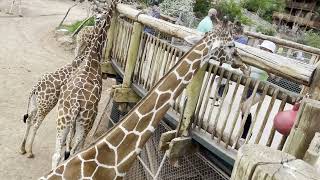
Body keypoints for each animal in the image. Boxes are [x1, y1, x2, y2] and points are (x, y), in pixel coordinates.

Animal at [51, 0, 117, 169]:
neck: (93, 56)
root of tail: (75, 105)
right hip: (86, 121)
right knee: (75, 152)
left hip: (63, 119)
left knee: (57, 155)